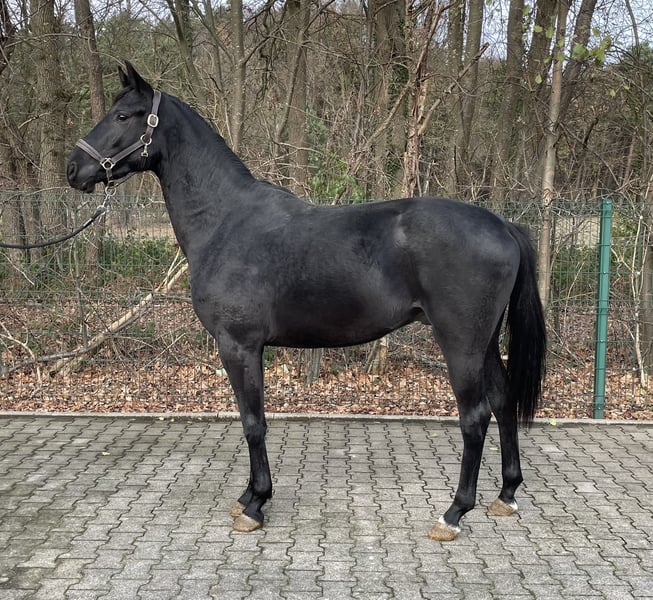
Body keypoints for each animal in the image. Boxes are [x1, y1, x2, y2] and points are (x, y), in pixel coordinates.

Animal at [66, 62, 546, 541]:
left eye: (124, 115)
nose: (73, 168)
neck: (225, 221)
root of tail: (502, 225)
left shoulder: (238, 345)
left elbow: (253, 422)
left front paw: (256, 504)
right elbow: (253, 419)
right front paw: (248, 495)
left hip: (461, 343)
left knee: (475, 416)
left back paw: (453, 513)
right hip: (484, 343)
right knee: (502, 402)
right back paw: (505, 495)